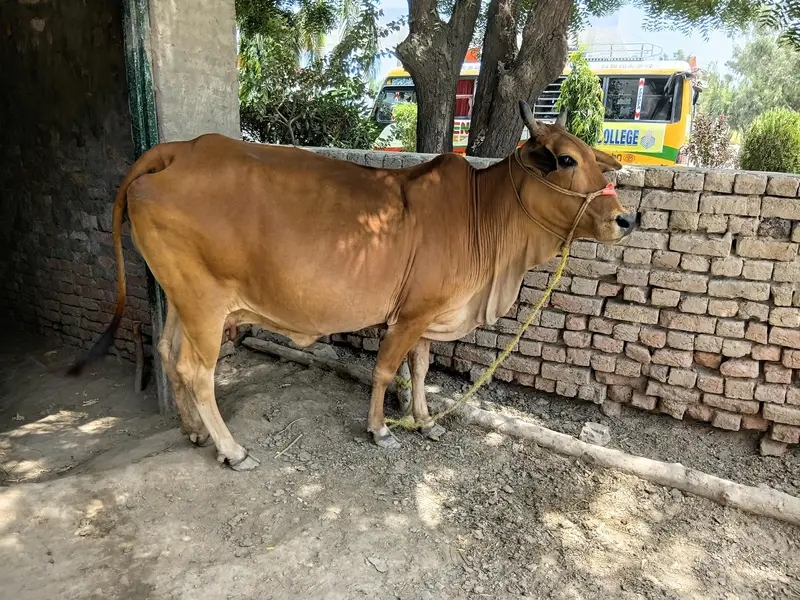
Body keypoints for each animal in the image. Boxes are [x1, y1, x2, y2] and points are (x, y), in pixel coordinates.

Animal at [67, 101, 635, 471]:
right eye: (566, 160)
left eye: (596, 159)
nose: (625, 219)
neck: (482, 213)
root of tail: (178, 151)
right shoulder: (409, 316)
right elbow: (385, 370)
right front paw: (381, 429)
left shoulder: (428, 315)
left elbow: (421, 369)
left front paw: (425, 420)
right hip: (204, 302)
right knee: (195, 371)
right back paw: (231, 449)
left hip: (182, 299)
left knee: (167, 351)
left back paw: (193, 431)